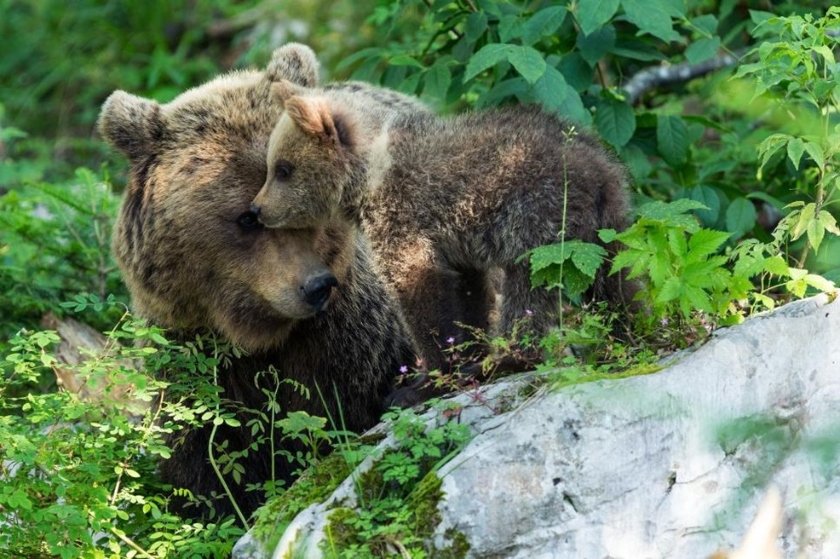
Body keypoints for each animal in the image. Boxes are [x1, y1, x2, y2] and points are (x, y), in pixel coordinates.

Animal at [97, 43, 418, 520]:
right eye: (247, 217)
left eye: (309, 208)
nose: (317, 286)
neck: (254, 334)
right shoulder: (193, 356)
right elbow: (200, 460)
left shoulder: (348, 340)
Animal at [253, 81, 632, 374]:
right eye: (272, 166)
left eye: (283, 169)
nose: (257, 209)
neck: (367, 177)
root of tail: (596, 166)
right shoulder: (458, 241)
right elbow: (469, 291)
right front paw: (469, 352)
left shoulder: (403, 215)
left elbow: (418, 286)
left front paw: (436, 370)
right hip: (606, 226)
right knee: (616, 280)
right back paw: (629, 332)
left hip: (539, 217)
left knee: (529, 288)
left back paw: (510, 357)